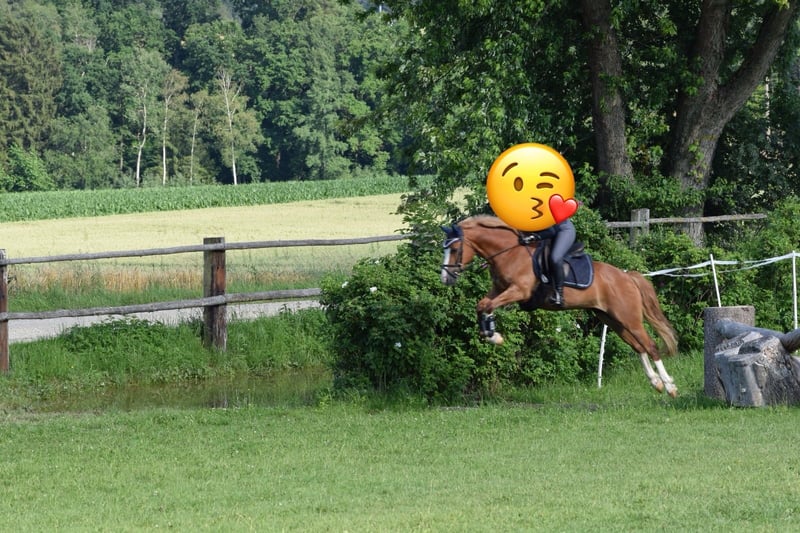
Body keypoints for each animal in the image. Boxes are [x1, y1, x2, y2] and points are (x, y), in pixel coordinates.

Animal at [440, 215, 679, 397]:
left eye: (455, 248)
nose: (445, 278)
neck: (509, 253)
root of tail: (627, 276)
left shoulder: (518, 291)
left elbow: (488, 305)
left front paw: (494, 336)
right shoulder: (499, 290)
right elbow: (482, 305)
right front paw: (492, 335)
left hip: (629, 318)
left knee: (650, 346)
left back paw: (669, 386)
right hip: (612, 319)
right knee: (638, 347)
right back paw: (656, 382)